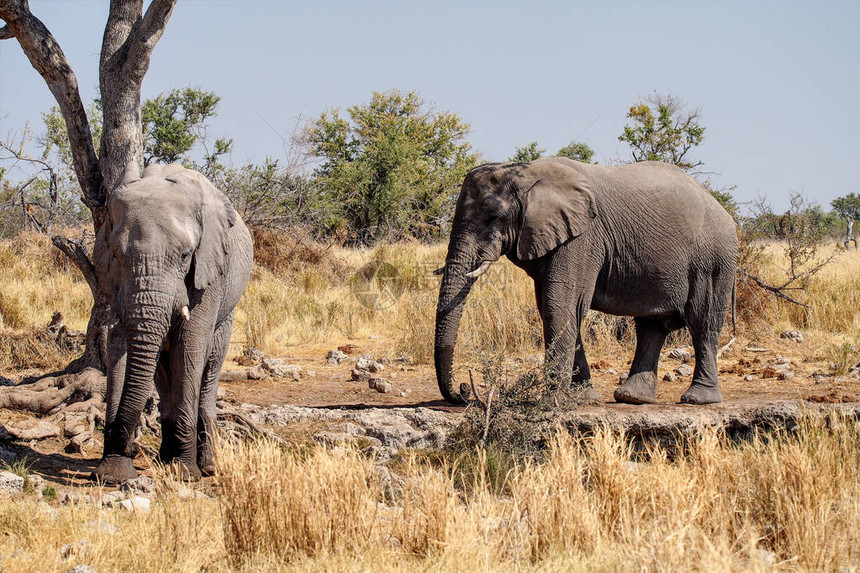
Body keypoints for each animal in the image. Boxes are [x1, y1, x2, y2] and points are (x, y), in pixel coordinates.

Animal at [91, 162, 252, 482]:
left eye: (185, 255)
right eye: (115, 254)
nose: (131, 448)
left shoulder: (210, 270)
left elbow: (189, 346)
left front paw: (185, 473)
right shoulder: (113, 281)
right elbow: (119, 347)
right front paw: (112, 474)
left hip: (228, 307)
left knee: (209, 368)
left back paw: (207, 466)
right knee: (162, 373)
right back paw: (166, 458)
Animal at [434, 156, 736, 404]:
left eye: (494, 217)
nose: (463, 390)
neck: (527, 173)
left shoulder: (583, 238)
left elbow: (561, 305)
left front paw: (553, 403)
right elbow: (556, 308)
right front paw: (583, 398)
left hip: (713, 259)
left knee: (703, 322)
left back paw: (698, 399)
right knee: (651, 327)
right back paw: (632, 398)